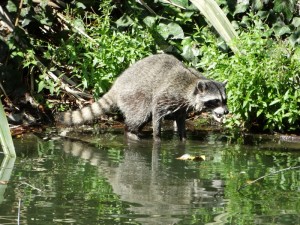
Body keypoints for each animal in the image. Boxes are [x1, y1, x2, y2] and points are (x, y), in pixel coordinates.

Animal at [57, 53, 229, 142]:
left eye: (225, 100)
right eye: (216, 101)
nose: (227, 112)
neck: (193, 84)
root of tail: (117, 85)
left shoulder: (182, 105)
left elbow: (180, 120)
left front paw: (183, 139)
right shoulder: (170, 94)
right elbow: (157, 111)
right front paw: (157, 138)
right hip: (134, 96)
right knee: (142, 113)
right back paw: (131, 131)